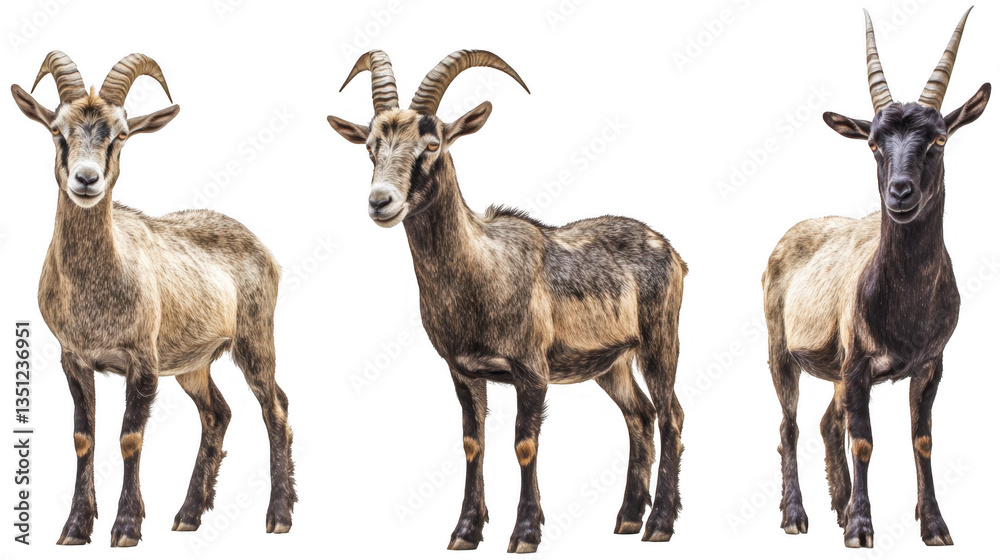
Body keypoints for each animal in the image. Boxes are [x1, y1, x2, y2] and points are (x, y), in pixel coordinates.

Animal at [11, 52, 296, 546]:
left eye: (121, 134)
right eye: (56, 130)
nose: (86, 180)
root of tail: (263, 248)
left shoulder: (142, 360)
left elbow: (130, 438)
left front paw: (126, 527)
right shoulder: (74, 357)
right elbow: (83, 438)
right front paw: (75, 527)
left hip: (255, 339)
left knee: (274, 407)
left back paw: (278, 516)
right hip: (192, 364)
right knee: (217, 413)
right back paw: (188, 515)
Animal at [328, 50, 687, 552]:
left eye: (433, 144)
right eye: (369, 146)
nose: (381, 202)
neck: (480, 272)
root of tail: (672, 252)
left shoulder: (531, 371)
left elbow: (524, 444)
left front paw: (525, 534)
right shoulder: (463, 370)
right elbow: (472, 443)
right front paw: (465, 531)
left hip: (660, 340)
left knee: (671, 415)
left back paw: (659, 525)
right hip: (611, 363)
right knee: (639, 414)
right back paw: (628, 518)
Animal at [762, 9, 989, 548]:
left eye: (939, 138)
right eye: (872, 143)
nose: (900, 193)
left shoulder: (929, 364)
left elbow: (922, 440)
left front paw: (935, 525)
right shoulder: (859, 364)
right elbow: (863, 441)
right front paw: (861, 529)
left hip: (836, 369)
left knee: (827, 423)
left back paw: (839, 504)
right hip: (782, 351)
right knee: (790, 427)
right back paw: (796, 515)